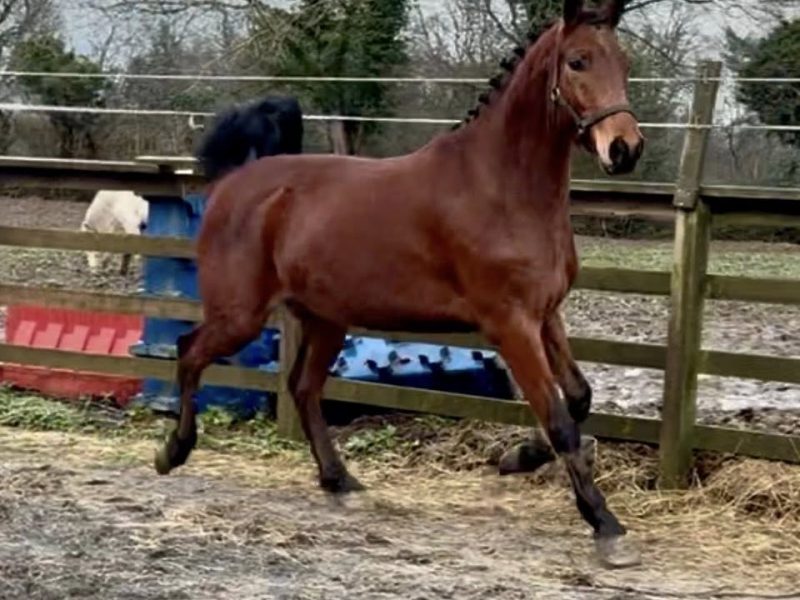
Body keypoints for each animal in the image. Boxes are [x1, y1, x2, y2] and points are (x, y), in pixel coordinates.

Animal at [154, 0, 644, 568]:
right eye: (578, 61)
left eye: (624, 63)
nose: (626, 149)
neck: (501, 188)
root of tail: (231, 183)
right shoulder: (511, 324)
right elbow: (562, 419)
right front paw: (606, 526)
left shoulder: (546, 316)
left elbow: (580, 399)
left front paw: (517, 457)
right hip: (240, 314)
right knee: (189, 351)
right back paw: (172, 452)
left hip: (324, 319)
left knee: (302, 387)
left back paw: (340, 483)